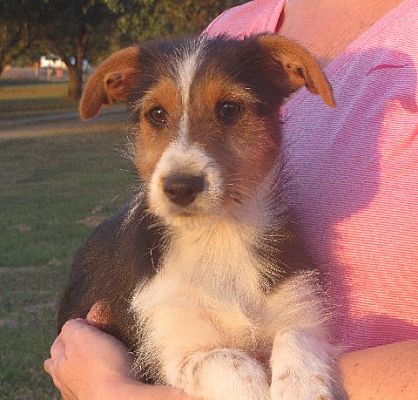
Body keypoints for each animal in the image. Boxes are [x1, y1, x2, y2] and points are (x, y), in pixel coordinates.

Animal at [57, 35, 342, 400]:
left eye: (229, 109)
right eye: (157, 114)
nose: (180, 187)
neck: (218, 233)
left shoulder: (298, 304)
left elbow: (296, 337)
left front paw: (301, 386)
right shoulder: (171, 350)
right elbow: (228, 362)